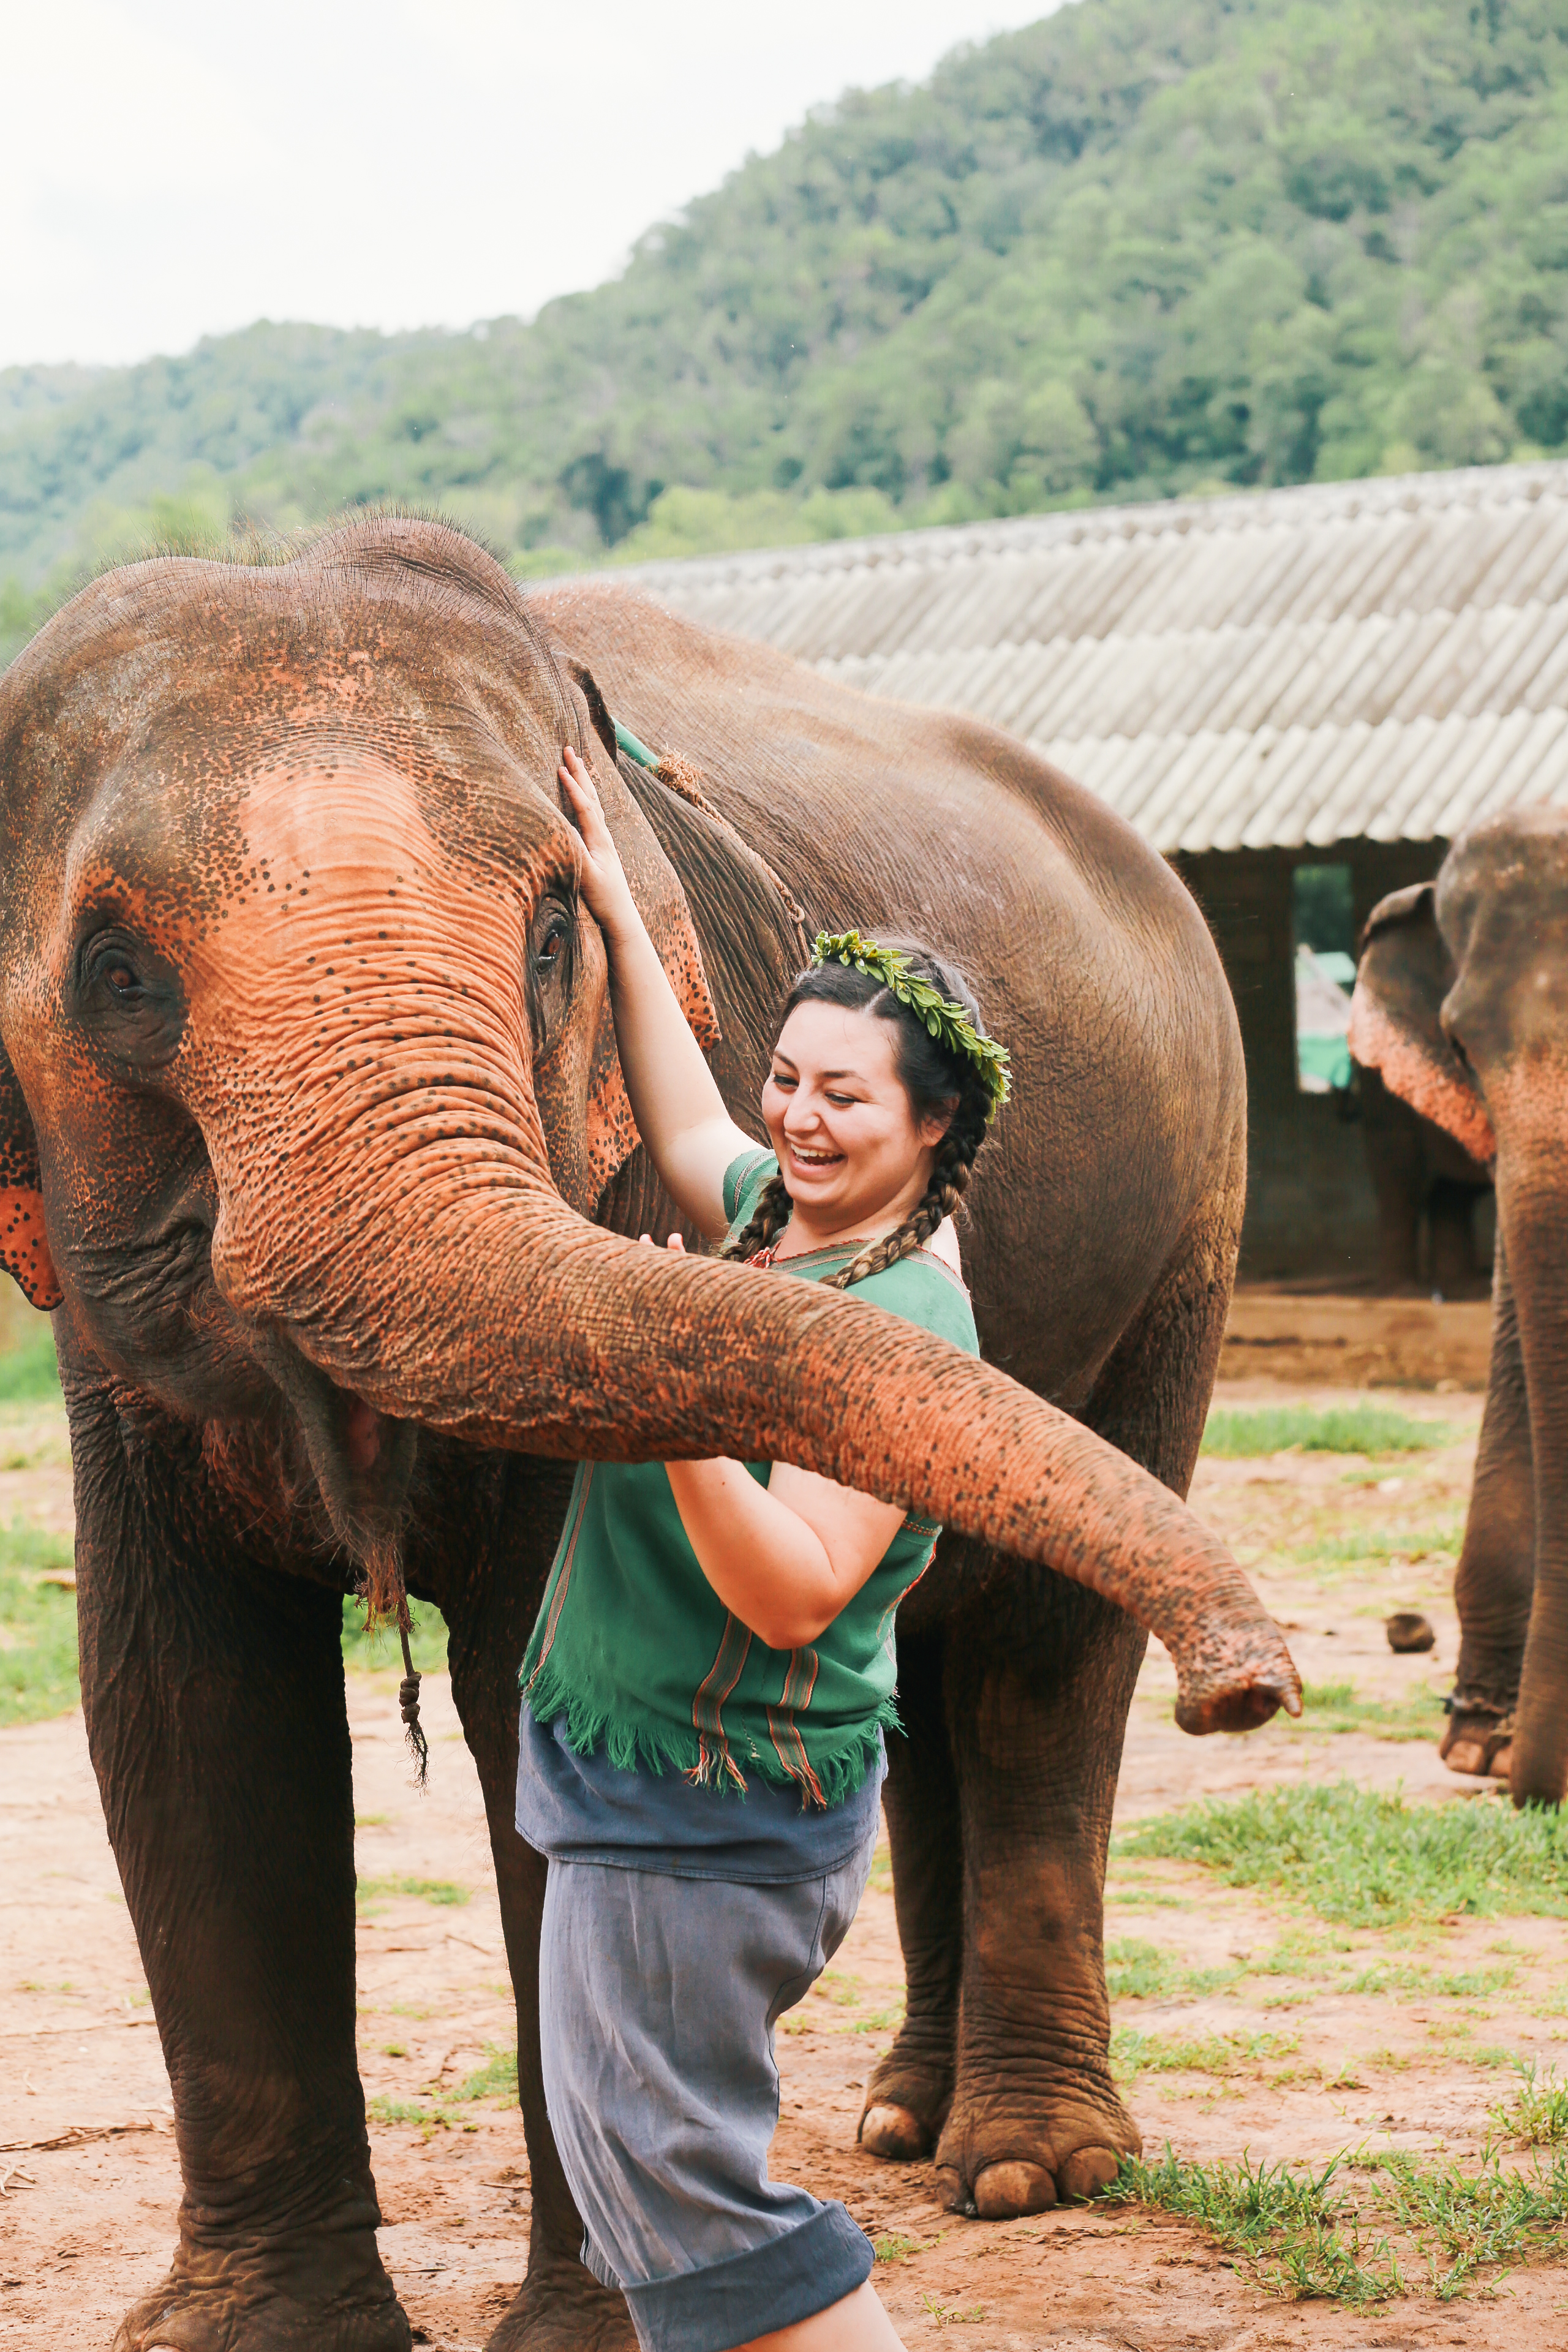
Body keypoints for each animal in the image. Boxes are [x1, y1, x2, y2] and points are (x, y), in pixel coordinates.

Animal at [0, 519, 1297, 2352]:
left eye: (557, 934)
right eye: (116, 972)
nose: (1249, 1691)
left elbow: (537, 1707)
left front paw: (586, 2334)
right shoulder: (110, 1369)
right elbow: (185, 1713)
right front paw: (246, 2335)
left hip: (1190, 1227)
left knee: (1037, 1672)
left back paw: (1027, 2166)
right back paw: (902, 2121)